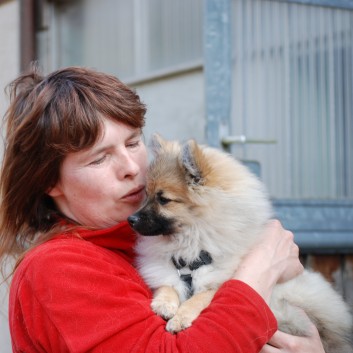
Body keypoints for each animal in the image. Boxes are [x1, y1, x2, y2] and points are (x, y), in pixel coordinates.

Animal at [127, 133, 352, 350]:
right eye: (146, 195)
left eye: (163, 199)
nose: (131, 219)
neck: (192, 242)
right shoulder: (167, 270)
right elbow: (167, 284)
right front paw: (165, 303)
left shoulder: (219, 282)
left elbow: (201, 297)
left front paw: (181, 317)